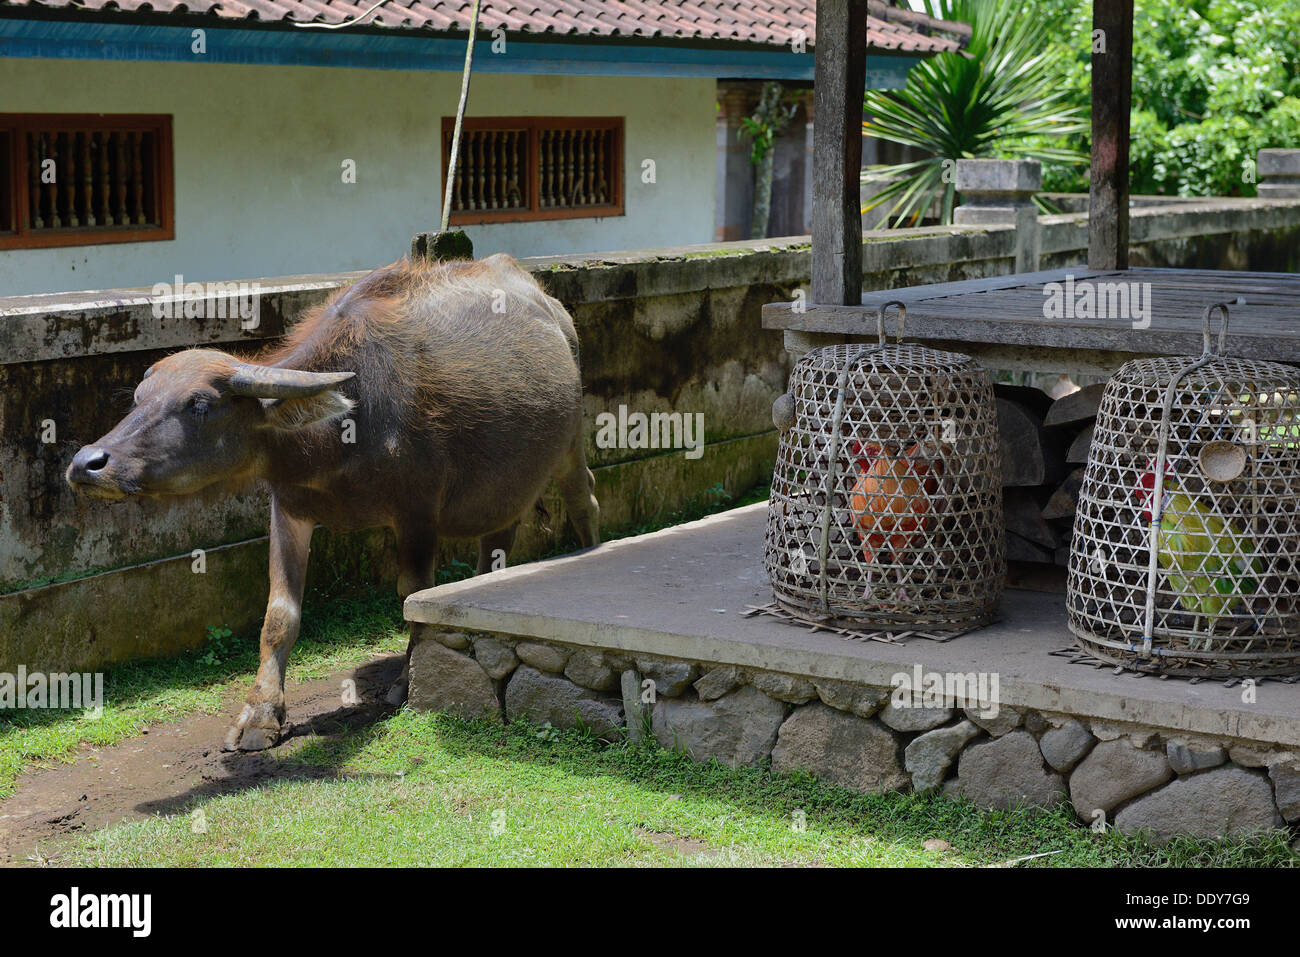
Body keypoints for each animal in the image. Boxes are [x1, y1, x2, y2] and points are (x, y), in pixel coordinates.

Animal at [67, 254, 600, 750]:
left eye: (199, 405)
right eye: (139, 398)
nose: (86, 463)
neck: (342, 430)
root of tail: (551, 307)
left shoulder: (417, 512)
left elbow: (413, 595)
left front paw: (406, 682)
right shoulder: (289, 510)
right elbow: (279, 614)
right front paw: (261, 713)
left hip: (569, 444)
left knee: (584, 499)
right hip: (504, 488)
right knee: (497, 544)